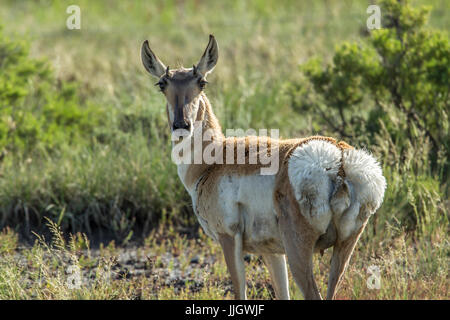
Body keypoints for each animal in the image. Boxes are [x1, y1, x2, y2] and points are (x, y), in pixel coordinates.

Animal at [141, 35, 386, 300]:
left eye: (202, 82)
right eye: (162, 84)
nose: (181, 125)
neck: (213, 160)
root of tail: (339, 158)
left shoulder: (229, 238)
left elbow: (240, 293)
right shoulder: (272, 252)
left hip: (298, 249)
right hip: (344, 247)